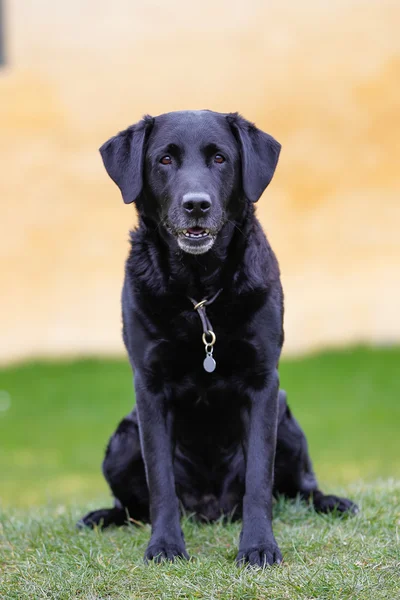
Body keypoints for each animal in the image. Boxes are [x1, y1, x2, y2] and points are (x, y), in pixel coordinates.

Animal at [79, 110, 358, 564]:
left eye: (220, 158)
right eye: (165, 159)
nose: (196, 204)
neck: (199, 294)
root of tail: (211, 509)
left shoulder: (264, 383)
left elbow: (259, 479)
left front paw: (259, 547)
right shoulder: (149, 386)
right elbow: (160, 481)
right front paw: (165, 546)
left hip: (286, 419)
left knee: (301, 488)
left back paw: (333, 502)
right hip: (122, 439)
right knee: (132, 505)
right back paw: (102, 516)